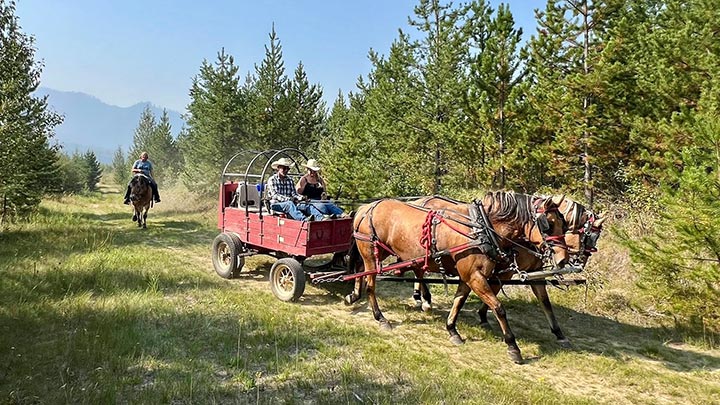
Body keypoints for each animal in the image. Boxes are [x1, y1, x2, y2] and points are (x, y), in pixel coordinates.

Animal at [345, 191, 569, 364]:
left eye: (564, 224)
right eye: (548, 224)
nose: (563, 259)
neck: (482, 230)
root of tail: (365, 207)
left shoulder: (469, 276)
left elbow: (459, 301)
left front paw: (452, 330)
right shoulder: (475, 276)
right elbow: (499, 307)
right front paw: (513, 346)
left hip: (381, 253)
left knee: (361, 269)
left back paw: (354, 296)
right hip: (370, 252)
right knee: (371, 284)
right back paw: (380, 317)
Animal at [410, 194, 605, 347]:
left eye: (564, 226)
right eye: (588, 235)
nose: (570, 261)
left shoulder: (532, 272)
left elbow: (545, 302)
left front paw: (559, 333)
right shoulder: (504, 271)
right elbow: (495, 295)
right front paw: (484, 316)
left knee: (418, 270)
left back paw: (422, 298)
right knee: (418, 270)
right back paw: (424, 299)